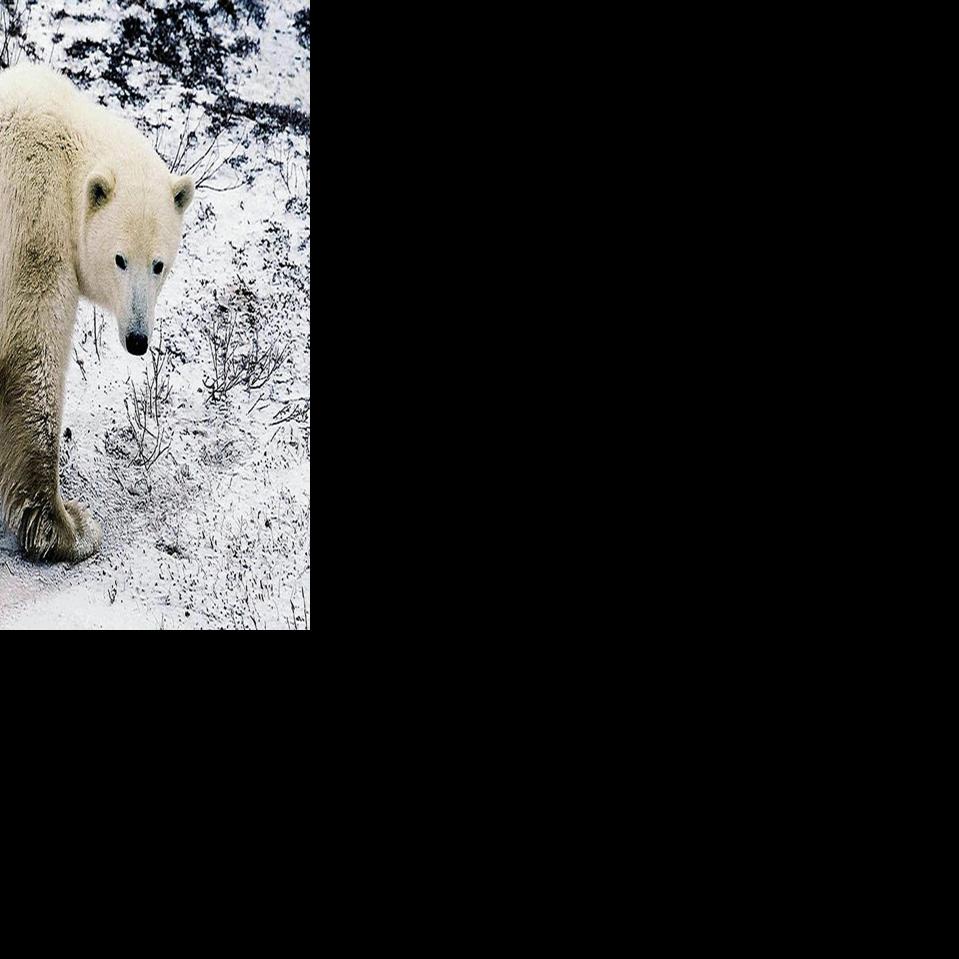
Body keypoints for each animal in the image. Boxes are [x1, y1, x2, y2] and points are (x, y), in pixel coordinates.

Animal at [0, 63, 194, 563]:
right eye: (119, 259)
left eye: (159, 264)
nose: (138, 339)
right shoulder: (33, 220)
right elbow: (32, 365)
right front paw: (68, 529)